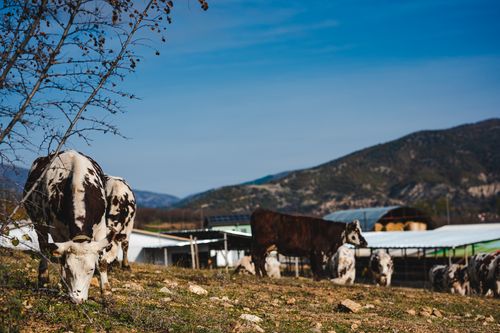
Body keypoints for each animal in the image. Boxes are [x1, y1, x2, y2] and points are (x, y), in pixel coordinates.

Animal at [23, 150, 113, 304]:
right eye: (70, 269)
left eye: (91, 270)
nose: (77, 299)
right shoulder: (57, 231)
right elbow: (61, 258)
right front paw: (65, 285)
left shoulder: (101, 228)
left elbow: (102, 261)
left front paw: (105, 292)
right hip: (39, 222)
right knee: (44, 248)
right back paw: (43, 280)